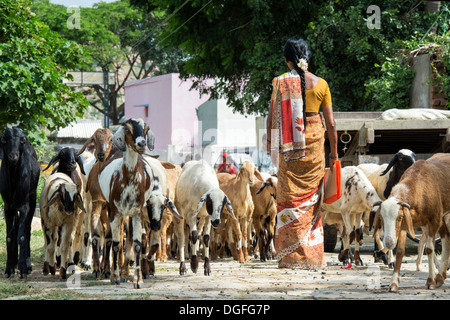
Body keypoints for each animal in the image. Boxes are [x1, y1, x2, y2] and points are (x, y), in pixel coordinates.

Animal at [0, 127, 40, 278]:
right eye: (4, 140)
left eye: (21, 140)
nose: (13, 156)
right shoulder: (7, 206)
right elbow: (10, 237)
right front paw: (9, 269)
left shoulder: (24, 205)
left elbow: (22, 235)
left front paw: (23, 269)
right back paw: (15, 262)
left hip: (32, 198)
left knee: (27, 229)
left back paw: (26, 264)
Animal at [98, 119, 155, 288]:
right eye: (128, 129)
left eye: (146, 129)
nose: (142, 143)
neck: (129, 178)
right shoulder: (115, 212)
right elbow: (117, 244)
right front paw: (115, 277)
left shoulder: (137, 212)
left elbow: (137, 244)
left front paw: (138, 280)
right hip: (116, 212)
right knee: (118, 238)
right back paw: (118, 274)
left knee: (129, 238)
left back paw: (128, 274)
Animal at [372, 153, 450, 292]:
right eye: (381, 217)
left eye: (398, 217)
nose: (389, 242)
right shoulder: (405, 224)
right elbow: (400, 251)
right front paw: (393, 283)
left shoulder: (434, 220)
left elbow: (429, 249)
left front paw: (430, 282)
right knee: (446, 237)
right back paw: (440, 278)